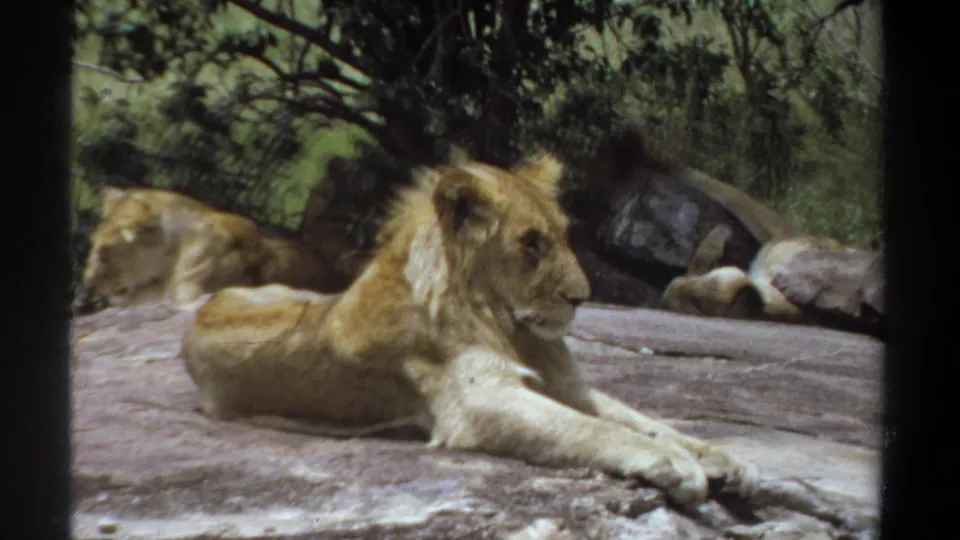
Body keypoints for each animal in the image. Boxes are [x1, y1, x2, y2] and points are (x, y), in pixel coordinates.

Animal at [180, 153, 759, 509]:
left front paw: (720, 458)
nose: (582, 297)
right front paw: (678, 466)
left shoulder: (566, 385)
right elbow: (595, 430)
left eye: (564, 236)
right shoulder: (479, 402)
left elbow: (642, 420)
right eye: (531, 242)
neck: (511, 324)